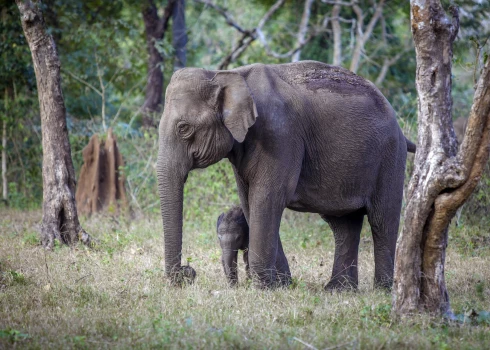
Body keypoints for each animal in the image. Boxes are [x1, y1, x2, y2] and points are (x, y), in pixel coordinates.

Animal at [156, 60, 414, 290]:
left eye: (184, 128)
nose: (187, 273)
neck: (225, 75)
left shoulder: (279, 135)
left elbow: (267, 198)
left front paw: (263, 287)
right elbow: (248, 201)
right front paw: (280, 285)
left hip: (390, 156)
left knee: (382, 219)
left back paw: (382, 290)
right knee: (343, 224)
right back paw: (338, 289)